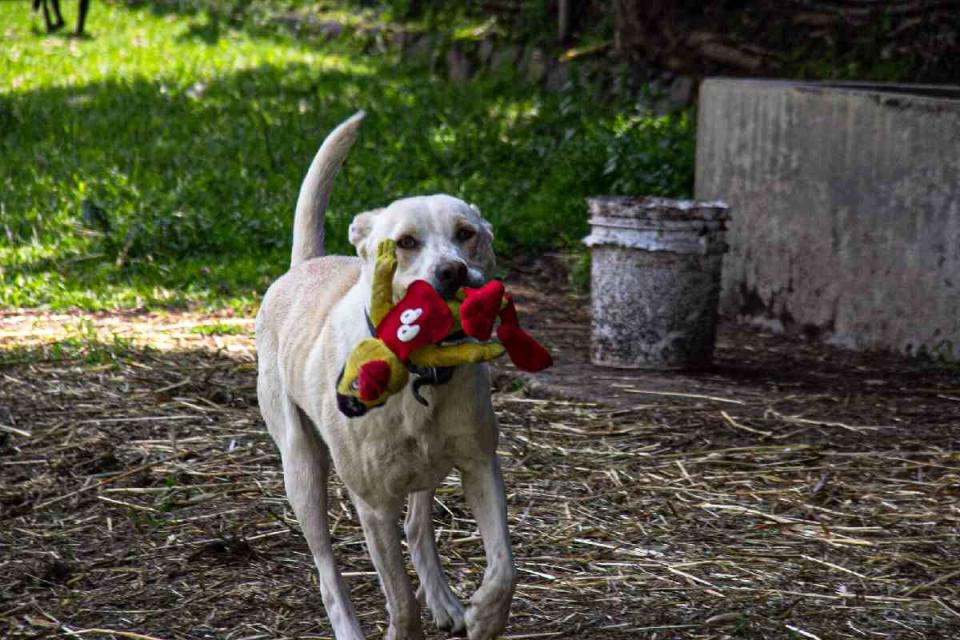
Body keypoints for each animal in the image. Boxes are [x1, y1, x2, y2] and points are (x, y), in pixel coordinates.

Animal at [253, 112, 510, 636]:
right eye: (406, 243)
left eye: (466, 233)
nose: (452, 272)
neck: (421, 369)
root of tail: (304, 265)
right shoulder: (372, 505)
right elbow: (400, 600)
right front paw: (402, 627)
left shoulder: (480, 465)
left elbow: (503, 568)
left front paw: (485, 617)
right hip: (301, 471)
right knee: (328, 573)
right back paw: (349, 626)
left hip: (424, 467)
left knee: (417, 525)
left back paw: (446, 602)